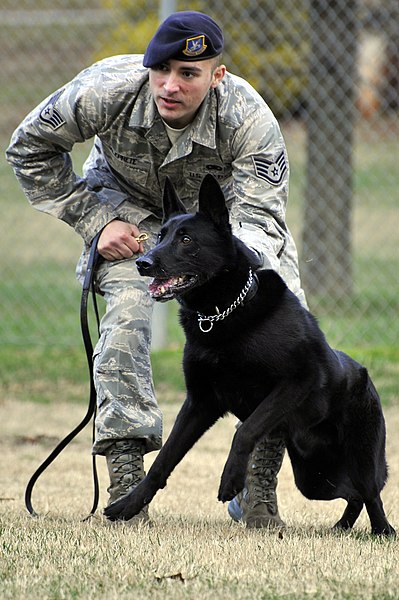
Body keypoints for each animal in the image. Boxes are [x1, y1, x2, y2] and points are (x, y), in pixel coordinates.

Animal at [104, 173, 396, 536]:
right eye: (160, 236)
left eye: (185, 239)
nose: (142, 263)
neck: (222, 314)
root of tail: (366, 379)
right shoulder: (200, 403)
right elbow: (164, 459)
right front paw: (129, 505)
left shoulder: (296, 382)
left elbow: (245, 431)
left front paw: (231, 479)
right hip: (314, 479)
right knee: (352, 494)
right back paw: (342, 527)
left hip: (359, 460)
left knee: (370, 493)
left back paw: (382, 530)